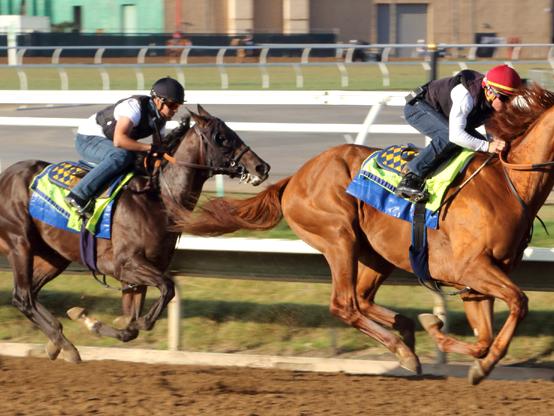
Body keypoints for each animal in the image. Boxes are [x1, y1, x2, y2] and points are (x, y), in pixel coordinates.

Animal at [0, 105, 270, 362]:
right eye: (222, 138)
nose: (261, 166)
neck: (158, 197)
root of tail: (5, 175)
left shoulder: (137, 274)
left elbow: (131, 326)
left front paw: (91, 320)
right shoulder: (125, 264)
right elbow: (167, 287)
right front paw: (109, 322)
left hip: (54, 256)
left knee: (30, 295)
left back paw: (56, 341)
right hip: (19, 243)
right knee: (22, 297)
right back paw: (65, 345)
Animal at [178, 86, 552, 386]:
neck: (506, 185)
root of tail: (294, 178)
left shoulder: (477, 281)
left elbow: (486, 336)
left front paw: (448, 339)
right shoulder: (468, 268)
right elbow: (519, 302)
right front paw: (479, 363)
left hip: (376, 253)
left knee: (362, 299)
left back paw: (405, 330)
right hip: (338, 237)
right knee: (345, 303)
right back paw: (402, 349)